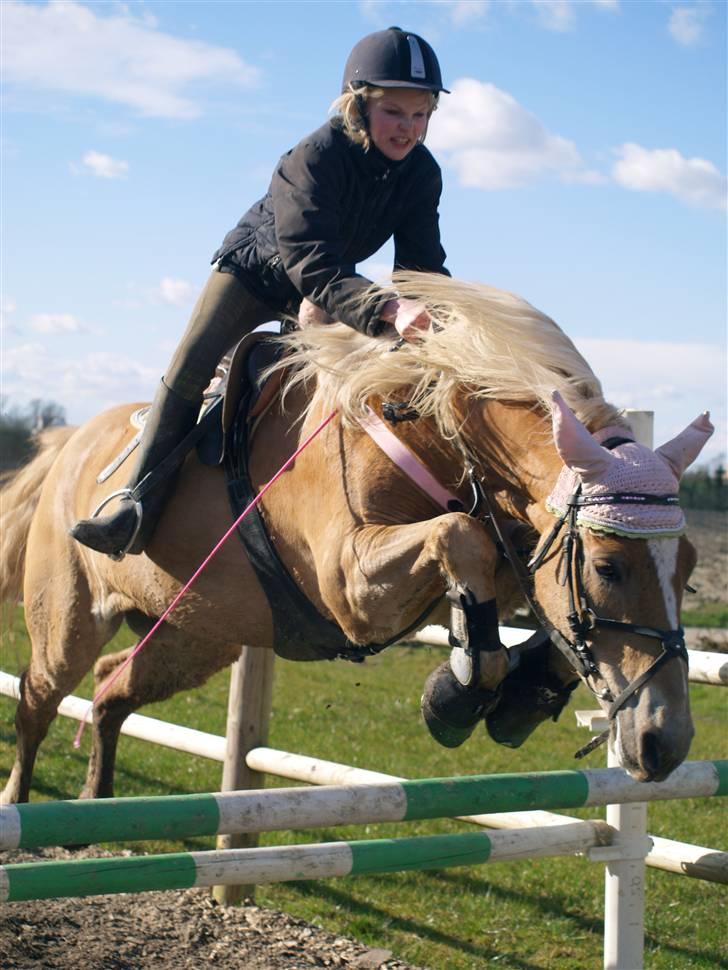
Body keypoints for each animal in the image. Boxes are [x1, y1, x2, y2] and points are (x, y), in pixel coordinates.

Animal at [0, 272, 712, 800]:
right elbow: (462, 538)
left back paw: (95, 803)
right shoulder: (350, 586)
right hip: (71, 616)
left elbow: (526, 598)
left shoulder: (508, 558)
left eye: (686, 569)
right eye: (608, 566)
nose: (666, 745)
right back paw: (21, 809)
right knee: (39, 697)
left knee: (110, 690)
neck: (431, 428)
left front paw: (517, 694)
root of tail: (71, 443)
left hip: (194, 634)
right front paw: (457, 696)